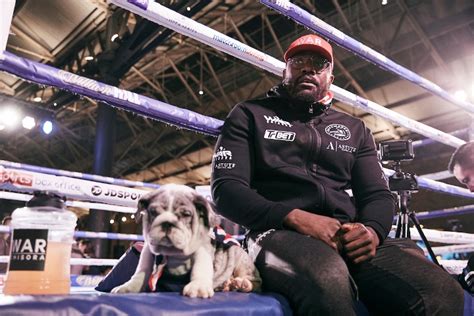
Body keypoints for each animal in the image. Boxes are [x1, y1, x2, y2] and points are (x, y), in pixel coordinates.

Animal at [111, 184, 262, 298]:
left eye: (186, 214)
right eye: (153, 212)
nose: (167, 223)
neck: (173, 253)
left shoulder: (202, 250)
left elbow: (200, 268)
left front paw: (198, 287)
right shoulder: (148, 251)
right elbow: (141, 271)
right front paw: (128, 287)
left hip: (241, 260)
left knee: (255, 281)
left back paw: (242, 284)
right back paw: (226, 285)